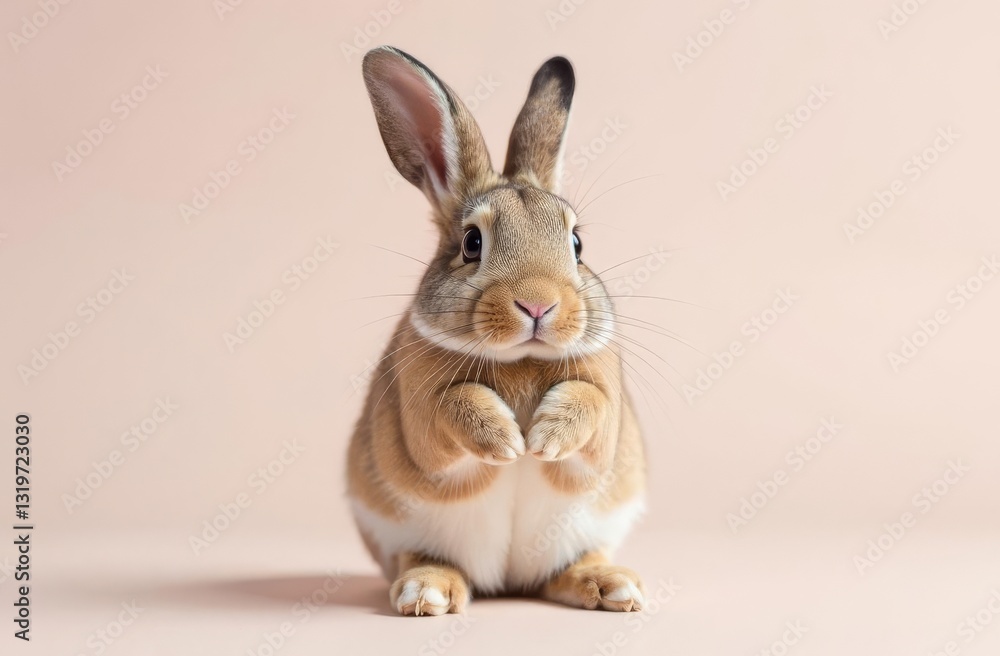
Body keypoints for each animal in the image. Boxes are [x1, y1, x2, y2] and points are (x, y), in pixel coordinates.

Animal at [348, 45, 647, 616]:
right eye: (471, 243)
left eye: (577, 244)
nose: (538, 303)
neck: (521, 358)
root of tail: (509, 584)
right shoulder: (419, 409)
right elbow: (451, 407)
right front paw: (508, 443)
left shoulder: (606, 409)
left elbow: (591, 406)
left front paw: (544, 439)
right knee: (424, 562)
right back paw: (427, 592)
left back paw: (614, 586)